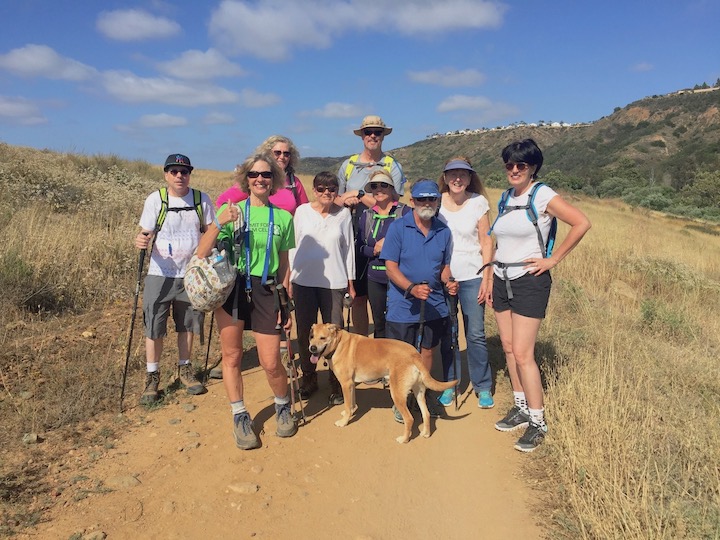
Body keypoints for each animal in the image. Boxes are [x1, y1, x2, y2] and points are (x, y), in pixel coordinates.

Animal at [308, 320, 456, 442]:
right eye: (311, 337)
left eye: (322, 338)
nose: (312, 348)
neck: (338, 344)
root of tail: (415, 354)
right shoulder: (351, 384)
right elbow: (351, 403)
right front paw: (349, 411)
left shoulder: (345, 384)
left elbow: (347, 404)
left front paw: (344, 421)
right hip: (418, 392)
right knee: (426, 414)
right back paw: (425, 433)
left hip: (397, 394)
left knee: (409, 419)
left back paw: (404, 439)